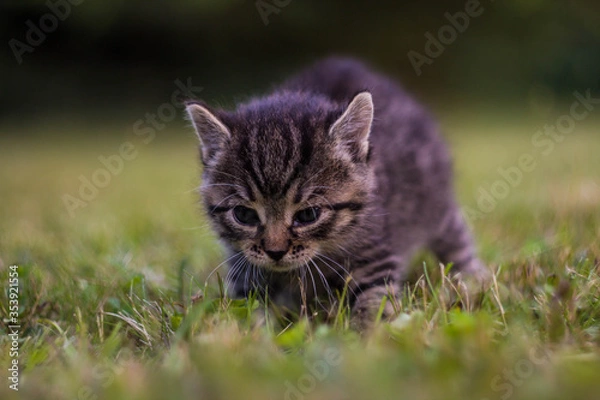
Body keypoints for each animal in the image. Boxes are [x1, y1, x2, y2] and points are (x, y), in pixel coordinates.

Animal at [185, 57, 490, 326]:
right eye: (244, 215)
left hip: (436, 203)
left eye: (308, 215)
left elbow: (375, 301)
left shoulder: (374, 253)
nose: (275, 251)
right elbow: (245, 312)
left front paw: (365, 338)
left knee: (456, 239)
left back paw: (474, 279)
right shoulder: (243, 269)